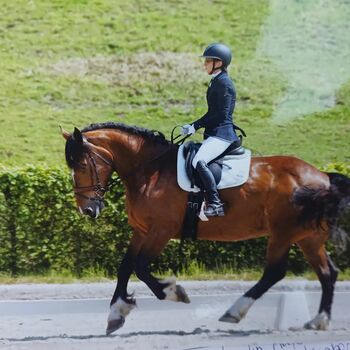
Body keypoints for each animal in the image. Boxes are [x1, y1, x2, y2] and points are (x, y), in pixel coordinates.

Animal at [63, 121, 350, 334]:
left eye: (82, 164)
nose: (87, 210)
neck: (150, 171)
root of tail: (323, 177)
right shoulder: (142, 230)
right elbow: (125, 267)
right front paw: (116, 313)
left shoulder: (161, 231)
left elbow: (141, 267)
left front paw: (173, 292)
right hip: (308, 237)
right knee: (327, 273)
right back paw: (319, 320)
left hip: (283, 233)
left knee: (275, 272)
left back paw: (235, 312)